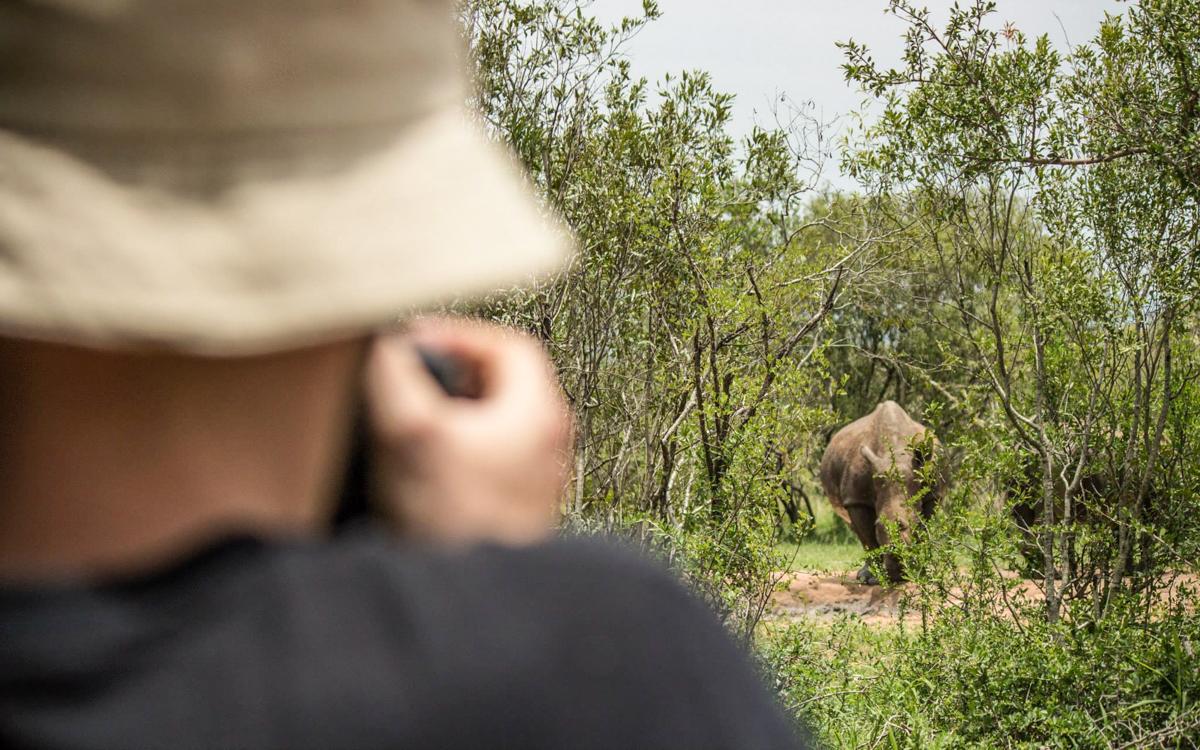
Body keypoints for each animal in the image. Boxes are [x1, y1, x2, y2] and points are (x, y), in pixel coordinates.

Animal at [818, 401, 942, 585]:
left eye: (915, 523)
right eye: (878, 525)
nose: (897, 573)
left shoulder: (933, 495)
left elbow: (924, 530)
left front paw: (921, 573)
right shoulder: (856, 499)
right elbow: (867, 537)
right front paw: (871, 578)